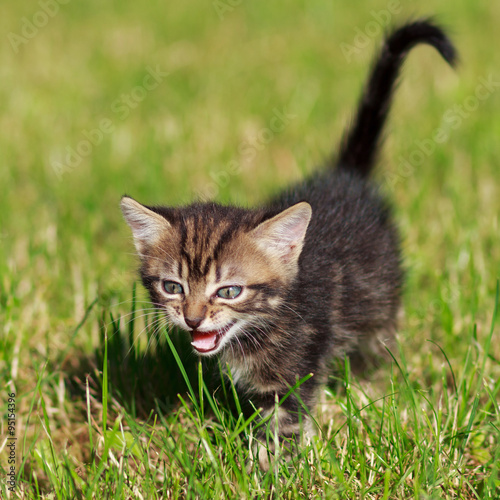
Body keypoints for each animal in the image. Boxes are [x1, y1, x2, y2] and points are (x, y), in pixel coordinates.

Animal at [121, 21, 458, 468]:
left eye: (229, 291)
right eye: (172, 287)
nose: (192, 320)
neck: (267, 320)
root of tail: (347, 175)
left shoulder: (296, 370)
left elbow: (284, 426)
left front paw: (269, 470)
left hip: (379, 300)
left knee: (379, 345)